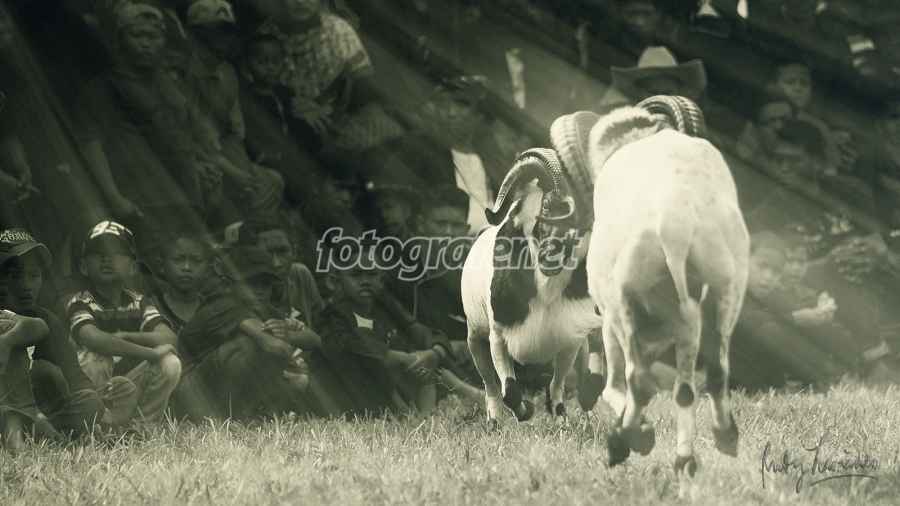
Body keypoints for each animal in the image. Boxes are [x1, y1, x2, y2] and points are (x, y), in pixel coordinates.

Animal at [461, 148, 605, 423]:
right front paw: (525, 410)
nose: (551, 255)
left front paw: (565, 413)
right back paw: (495, 421)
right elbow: (510, 392)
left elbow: (561, 385)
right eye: (547, 206)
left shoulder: (571, 335)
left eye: (585, 220)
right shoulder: (498, 336)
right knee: (490, 387)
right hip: (474, 337)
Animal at [581, 96, 748, 475]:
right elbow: (683, 390)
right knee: (714, 372)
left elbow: (614, 388)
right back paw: (720, 441)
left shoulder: (615, 324)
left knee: (637, 381)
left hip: (624, 300)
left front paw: (640, 435)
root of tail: (676, 223)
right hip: (726, 288)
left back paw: (621, 446)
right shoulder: (685, 324)